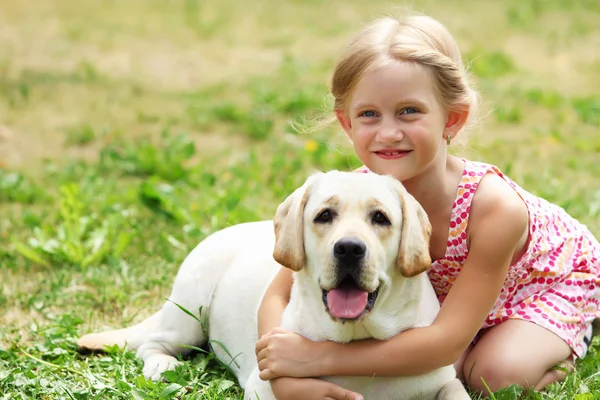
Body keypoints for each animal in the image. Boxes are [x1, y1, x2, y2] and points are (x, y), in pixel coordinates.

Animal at [79, 171, 472, 400]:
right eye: (324, 215)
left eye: (381, 218)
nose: (348, 248)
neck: (355, 344)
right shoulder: (263, 387)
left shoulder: (443, 379)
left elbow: (455, 390)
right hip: (188, 313)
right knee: (153, 344)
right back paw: (162, 365)